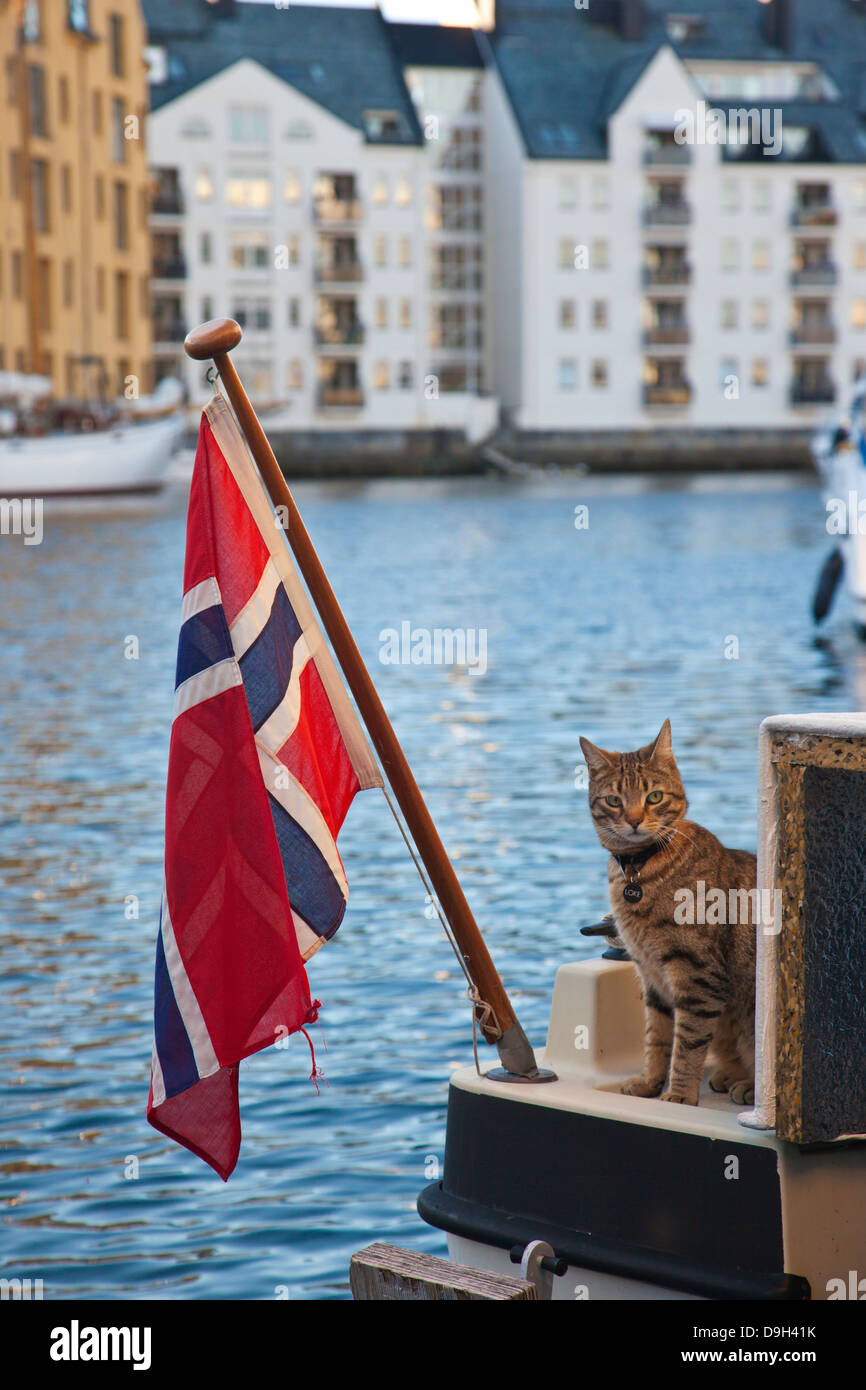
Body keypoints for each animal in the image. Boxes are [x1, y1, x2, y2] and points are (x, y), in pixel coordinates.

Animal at [583, 722, 756, 1100]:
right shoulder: (651, 977)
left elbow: (687, 1046)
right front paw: (650, 1082)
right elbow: (658, 1037)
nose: (634, 821)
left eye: (654, 797)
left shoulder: (698, 977)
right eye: (614, 800)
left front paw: (678, 1094)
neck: (640, 869)